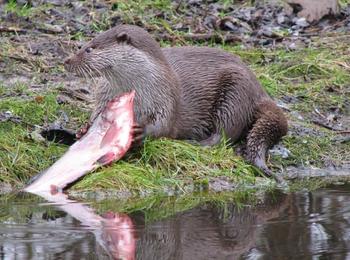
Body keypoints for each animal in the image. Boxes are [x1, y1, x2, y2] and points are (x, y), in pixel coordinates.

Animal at [64, 24, 288, 178]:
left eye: (90, 49)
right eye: (83, 45)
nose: (66, 61)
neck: (136, 95)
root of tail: (260, 90)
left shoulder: (165, 97)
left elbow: (164, 124)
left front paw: (142, 131)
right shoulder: (104, 97)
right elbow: (96, 115)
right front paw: (84, 129)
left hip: (235, 93)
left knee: (225, 134)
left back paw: (195, 142)